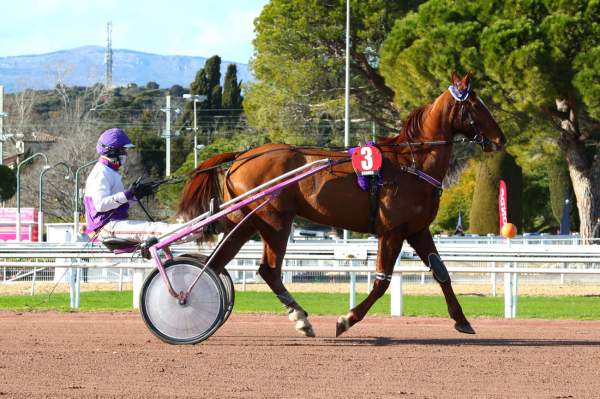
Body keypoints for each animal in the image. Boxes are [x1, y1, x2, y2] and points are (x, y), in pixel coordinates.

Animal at [178, 72, 506, 338]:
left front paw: (462, 319)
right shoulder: (392, 232)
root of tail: (242, 156)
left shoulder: (417, 230)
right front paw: (346, 319)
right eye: (477, 105)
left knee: (216, 263)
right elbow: (382, 282)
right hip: (274, 221)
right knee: (267, 270)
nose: (500, 139)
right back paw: (299, 318)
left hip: (247, 221)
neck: (411, 163)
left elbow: (441, 272)